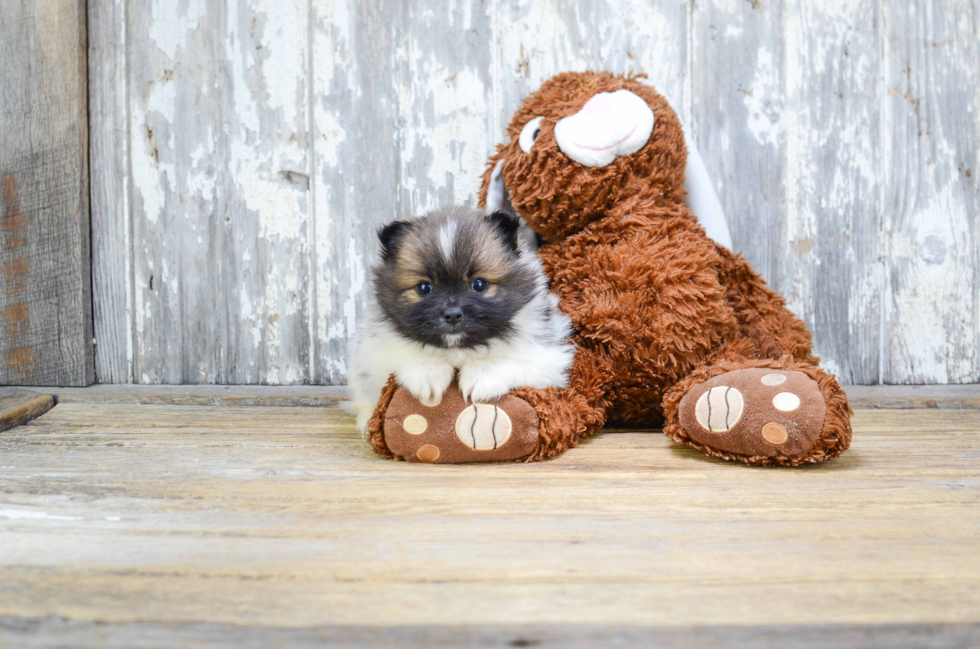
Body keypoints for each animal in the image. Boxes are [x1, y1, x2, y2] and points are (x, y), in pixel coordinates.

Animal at [348, 205, 576, 432]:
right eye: (424, 288)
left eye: (479, 285)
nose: (452, 314)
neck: (458, 348)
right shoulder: (371, 356)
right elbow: (402, 355)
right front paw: (428, 371)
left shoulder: (548, 357)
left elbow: (512, 360)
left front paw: (482, 375)